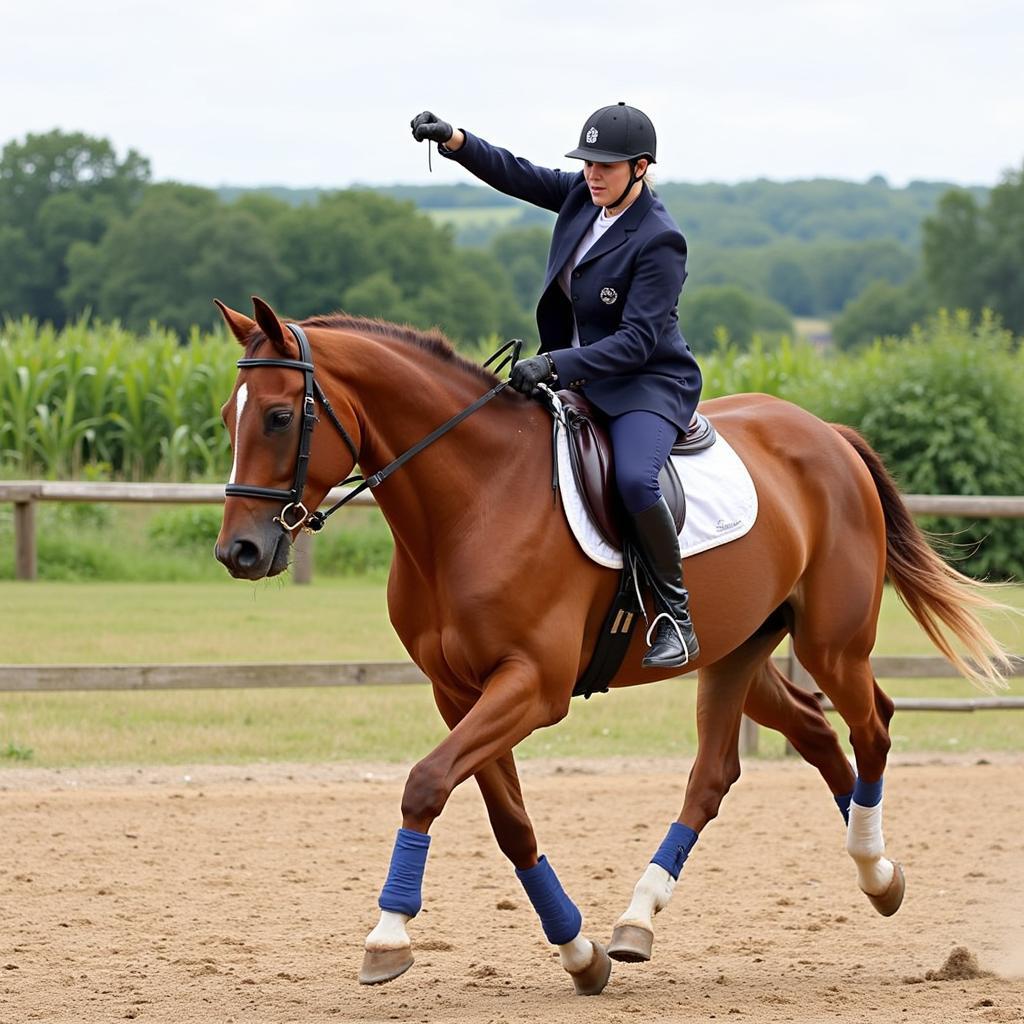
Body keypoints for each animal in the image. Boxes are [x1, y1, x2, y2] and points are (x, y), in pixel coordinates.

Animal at [209, 294, 1007, 991]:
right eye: (225, 416)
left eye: (278, 417)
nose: (238, 553)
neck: (471, 501)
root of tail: (827, 433)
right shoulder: (458, 693)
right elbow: (511, 825)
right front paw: (579, 953)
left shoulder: (533, 686)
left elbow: (426, 783)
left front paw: (388, 936)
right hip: (736, 652)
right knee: (760, 753)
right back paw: (662, 915)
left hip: (831, 642)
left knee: (873, 725)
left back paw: (871, 864)